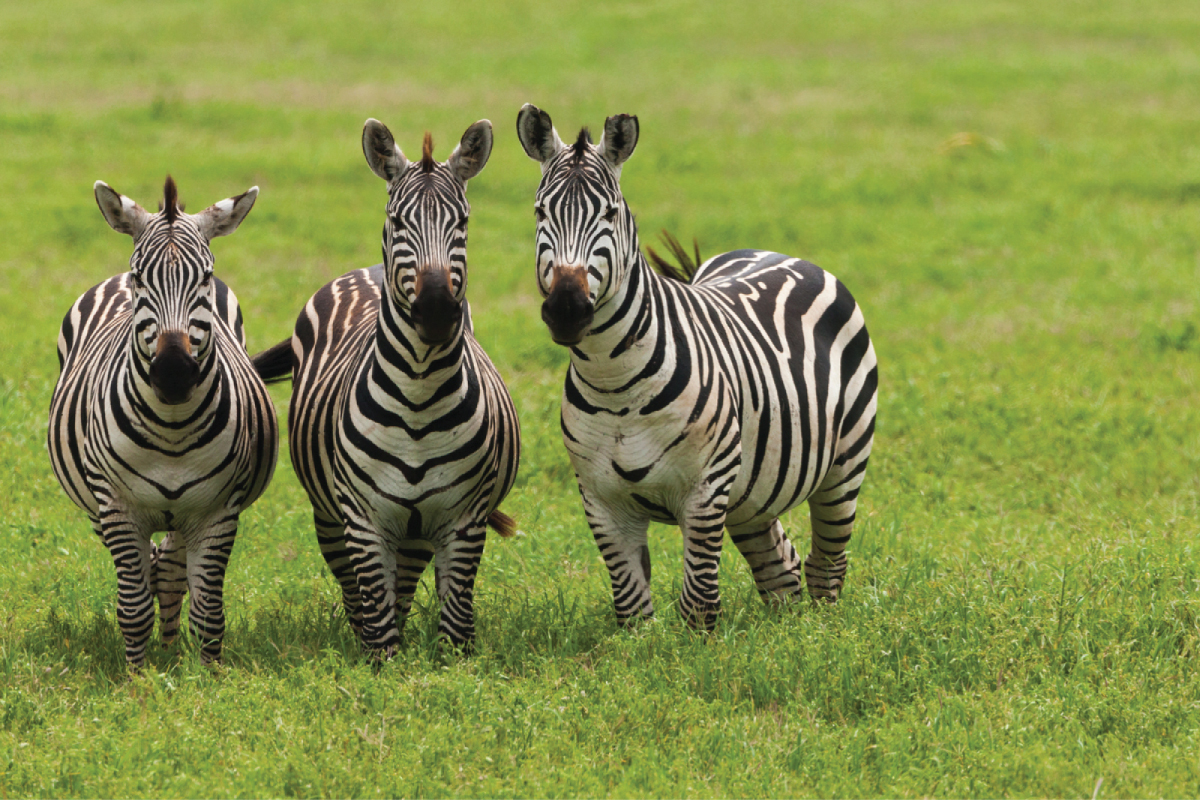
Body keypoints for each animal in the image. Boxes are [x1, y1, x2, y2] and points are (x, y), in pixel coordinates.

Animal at [47, 176, 278, 671]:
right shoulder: (116, 508)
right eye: (140, 278)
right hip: (94, 503)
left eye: (205, 277)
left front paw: (205, 675)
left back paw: (171, 649)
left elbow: (208, 610)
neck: (171, 429)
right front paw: (137, 677)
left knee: (171, 569)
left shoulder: (218, 512)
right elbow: (133, 607)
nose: (173, 373)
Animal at [253, 118, 520, 657]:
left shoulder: (464, 518)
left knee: (404, 583)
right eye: (397, 221)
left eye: (463, 222)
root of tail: (367, 269)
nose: (436, 310)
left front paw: (447, 667)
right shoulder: (362, 519)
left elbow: (456, 625)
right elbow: (376, 622)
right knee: (359, 592)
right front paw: (382, 666)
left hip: (415, 530)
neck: (418, 396)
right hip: (330, 516)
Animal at [518, 106, 883, 628]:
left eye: (610, 213)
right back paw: (790, 634)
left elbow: (699, 602)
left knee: (825, 564)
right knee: (782, 568)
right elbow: (632, 608)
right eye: (540, 213)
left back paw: (823, 633)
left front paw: (701, 648)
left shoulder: (706, 488)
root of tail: (781, 253)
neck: (615, 383)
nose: (567, 309)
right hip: (753, 493)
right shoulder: (600, 499)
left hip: (844, 465)